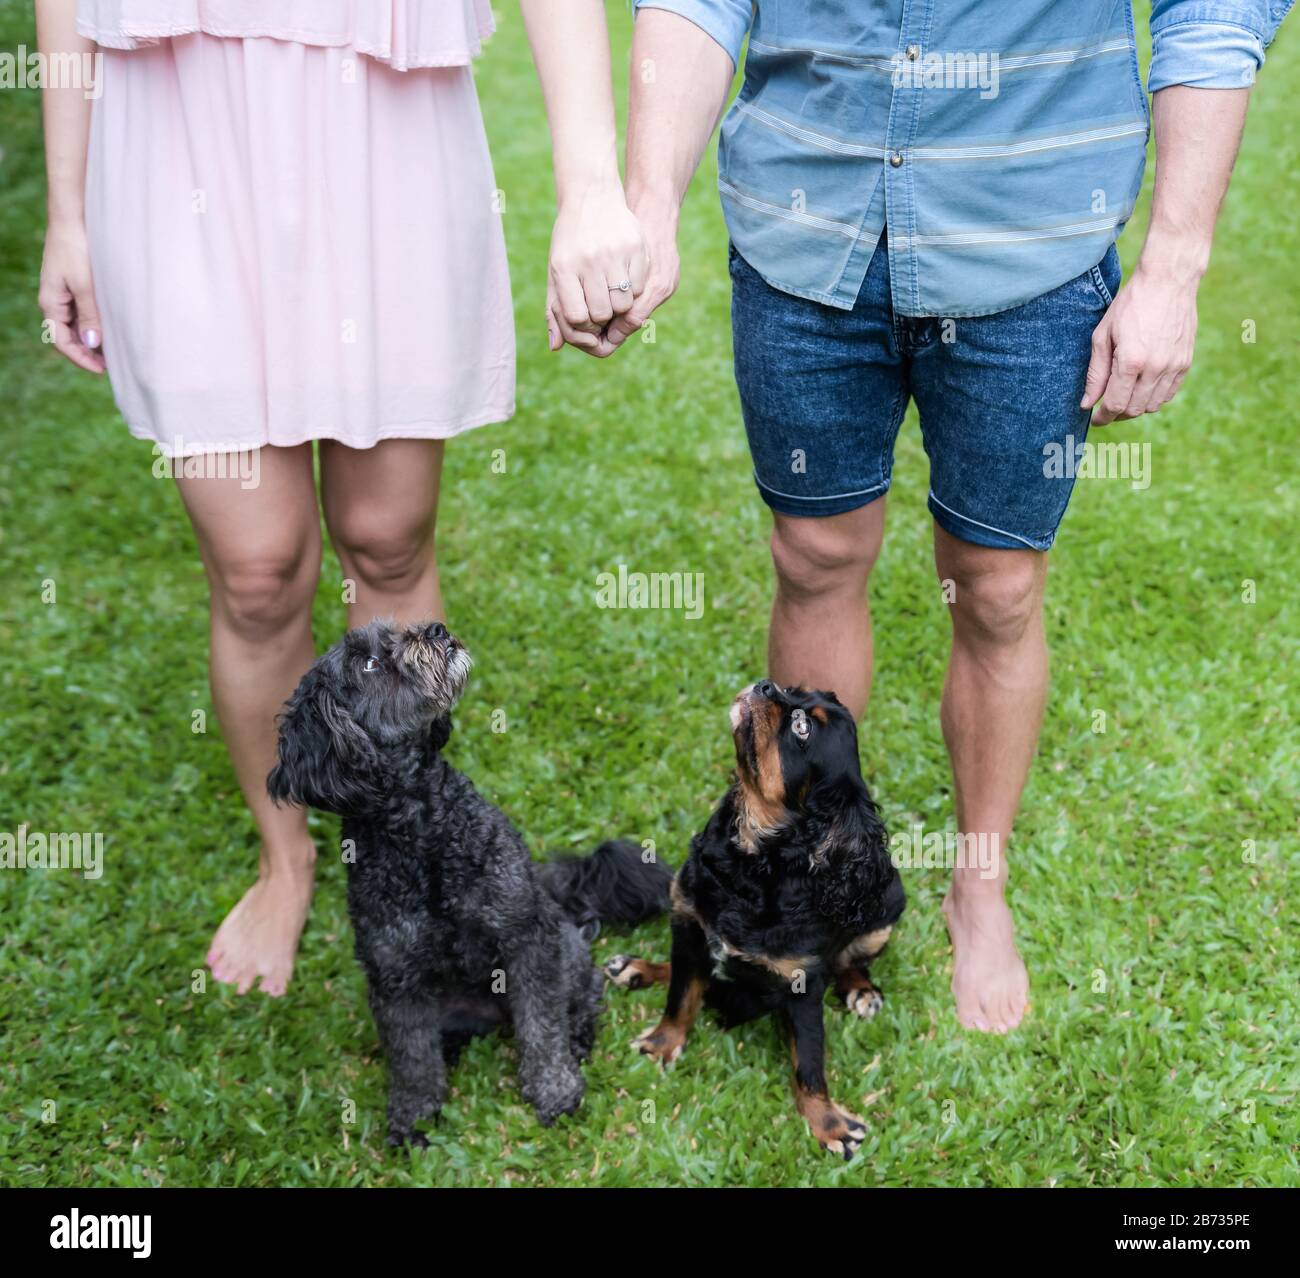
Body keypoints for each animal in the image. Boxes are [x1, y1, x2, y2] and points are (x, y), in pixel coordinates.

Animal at [603, 686, 899, 1164]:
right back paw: (636, 968)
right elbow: (680, 997)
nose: (765, 686)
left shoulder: (803, 984)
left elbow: (809, 1062)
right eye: (794, 690)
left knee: (849, 962)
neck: (752, 860)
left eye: (802, 727)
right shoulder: (690, 925)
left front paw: (830, 1125)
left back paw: (861, 989)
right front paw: (662, 1044)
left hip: (885, 915)